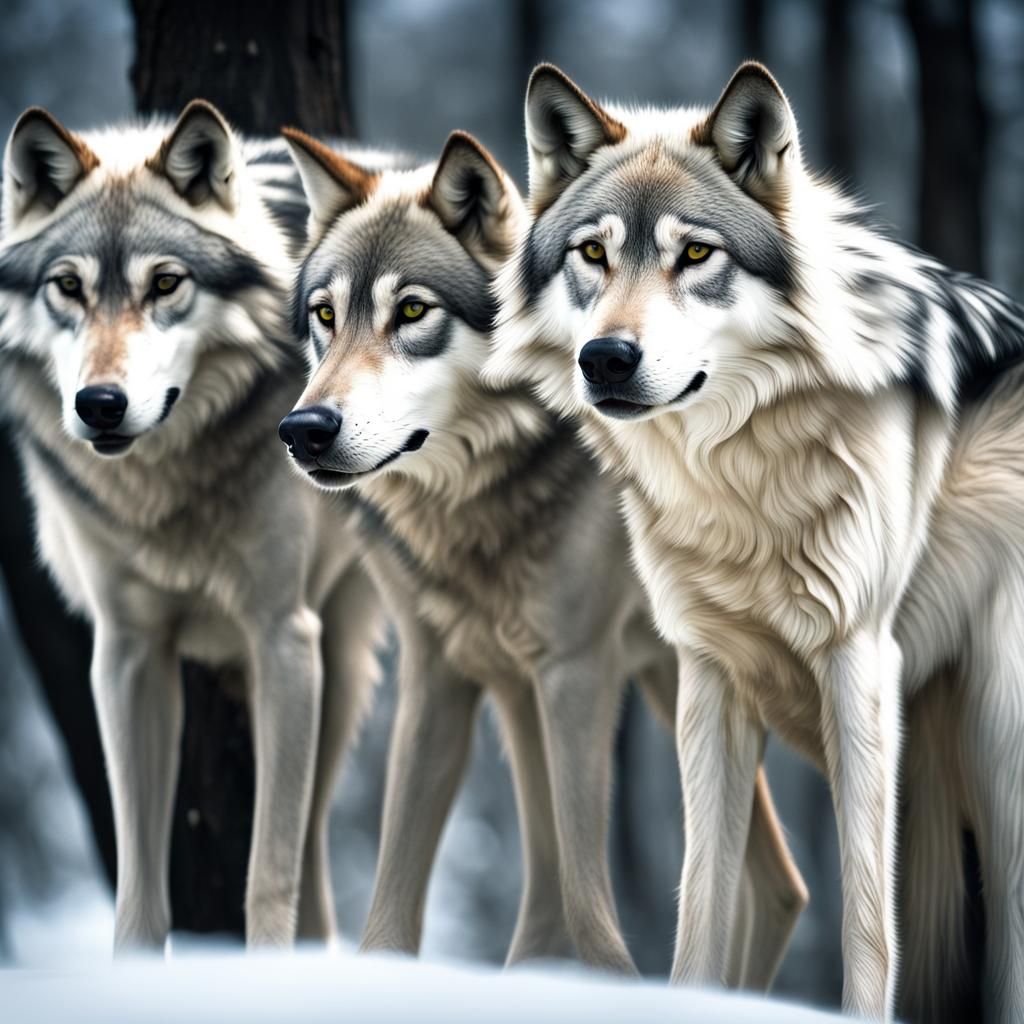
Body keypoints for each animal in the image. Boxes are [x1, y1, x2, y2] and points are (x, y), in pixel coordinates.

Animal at [0, 102, 388, 951]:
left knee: (311, 854)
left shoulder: (284, 637)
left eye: (166, 284)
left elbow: (268, 878)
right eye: (67, 287)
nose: (100, 405)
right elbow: (138, 891)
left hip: (336, 665)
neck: (163, 491)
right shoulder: (127, 654)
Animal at [277, 126, 808, 982]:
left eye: (412, 311)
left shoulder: (577, 671)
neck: (478, 502)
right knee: (778, 886)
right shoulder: (438, 672)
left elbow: (590, 901)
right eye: (326, 315)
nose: (304, 430)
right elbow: (393, 901)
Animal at [486, 62, 1024, 1020]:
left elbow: (866, 923)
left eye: (696, 255)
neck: (739, 482)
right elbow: (700, 901)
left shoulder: (859, 664)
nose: (607, 358)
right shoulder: (707, 677)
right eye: (593, 253)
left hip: (999, 748)